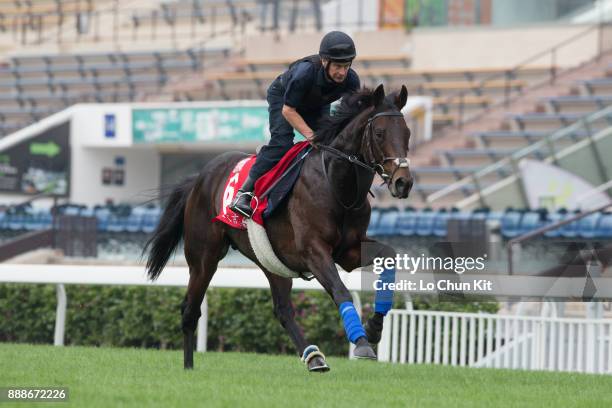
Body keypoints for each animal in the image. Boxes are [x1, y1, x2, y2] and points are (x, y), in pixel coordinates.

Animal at [143, 84, 412, 372]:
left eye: (407, 133)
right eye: (380, 133)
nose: (403, 182)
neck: (336, 186)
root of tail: (198, 179)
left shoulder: (349, 251)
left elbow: (389, 256)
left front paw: (374, 327)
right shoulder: (314, 251)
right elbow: (341, 290)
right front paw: (361, 342)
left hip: (272, 260)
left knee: (282, 310)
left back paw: (313, 357)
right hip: (204, 257)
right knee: (190, 309)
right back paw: (189, 366)